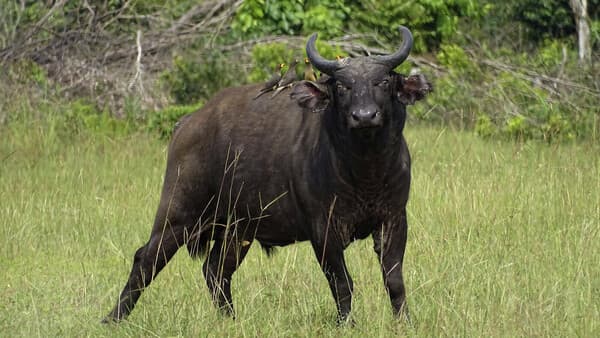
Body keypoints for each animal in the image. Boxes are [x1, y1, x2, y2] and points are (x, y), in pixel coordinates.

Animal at [103, 25, 432, 322]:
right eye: (342, 86)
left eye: (384, 81)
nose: (364, 116)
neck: (365, 171)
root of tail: (188, 122)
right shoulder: (322, 229)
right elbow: (342, 283)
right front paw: (346, 323)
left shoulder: (393, 219)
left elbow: (394, 281)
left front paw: (403, 322)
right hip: (179, 213)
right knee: (146, 259)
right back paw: (113, 318)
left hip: (238, 229)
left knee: (215, 270)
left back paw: (230, 319)